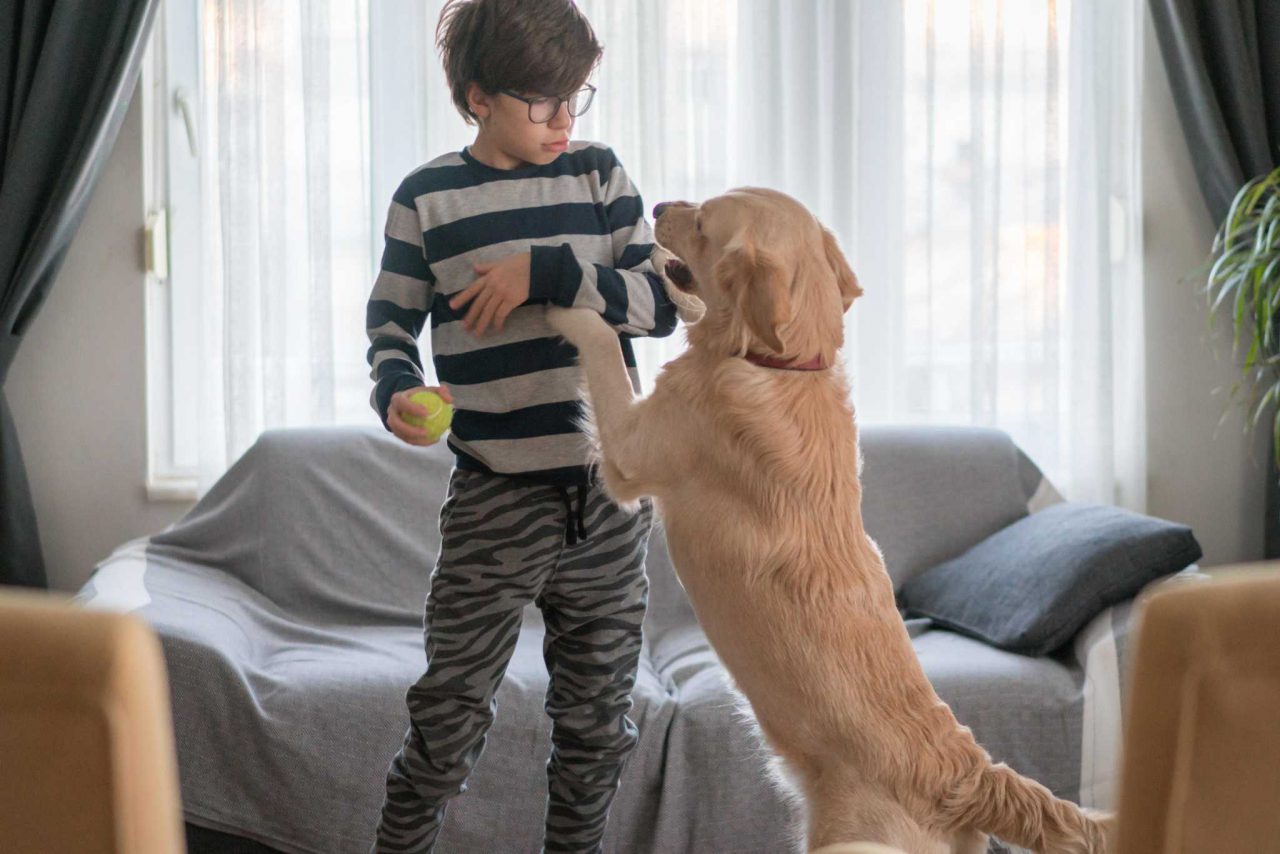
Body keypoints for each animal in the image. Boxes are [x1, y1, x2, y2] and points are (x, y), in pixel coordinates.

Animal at [545, 188, 1116, 854]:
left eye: (705, 223)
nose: (660, 205)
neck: (782, 364)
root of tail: (965, 771)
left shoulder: (632, 455)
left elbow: (603, 349)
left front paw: (560, 299)